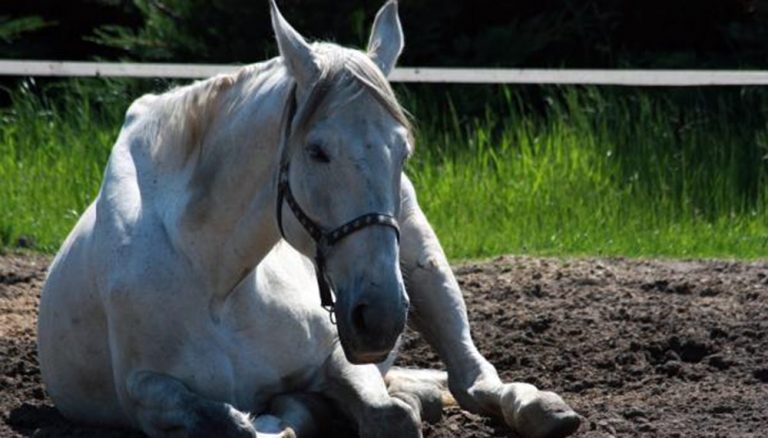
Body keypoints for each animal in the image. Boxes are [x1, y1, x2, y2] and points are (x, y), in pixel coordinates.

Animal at [37, 1, 581, 437]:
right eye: (317, 151)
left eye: (403, 151)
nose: (380, 317)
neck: (218, 282)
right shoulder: (146, 393)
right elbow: (234, 422)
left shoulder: (337, 353)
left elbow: (389, 416)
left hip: (423, 263)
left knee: (471, 377)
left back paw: (537, 407)